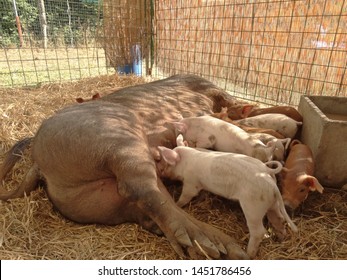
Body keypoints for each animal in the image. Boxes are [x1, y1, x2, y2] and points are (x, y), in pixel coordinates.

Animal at [0, 75, 250, 260]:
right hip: (118, 137)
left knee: (148, 200)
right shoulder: (213, 89)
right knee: (141, 189)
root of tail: (38, 164)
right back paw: (215, 248)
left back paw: (217, 248)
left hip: (100, 199)